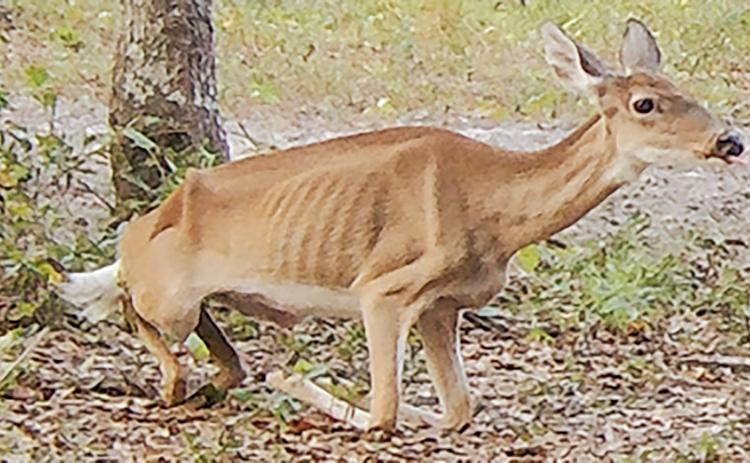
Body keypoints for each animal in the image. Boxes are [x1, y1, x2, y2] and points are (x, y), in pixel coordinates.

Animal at [58, 19, 747, 433]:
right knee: (131, 299)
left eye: (684, 89)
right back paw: (183, 378)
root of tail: (147, 228)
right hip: (166, 293)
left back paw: (207, 381)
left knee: (217, 353)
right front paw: (300, 378)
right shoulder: (385, 287)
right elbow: (382, 414)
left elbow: (458, 409)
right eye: (645, 103)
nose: (729, 140)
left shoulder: (443, 303)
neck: (494, 211)